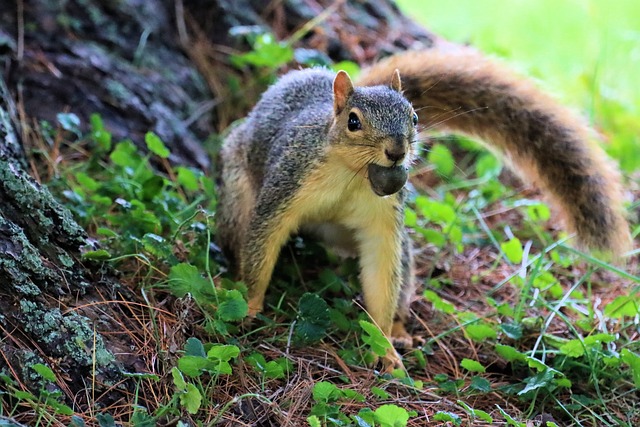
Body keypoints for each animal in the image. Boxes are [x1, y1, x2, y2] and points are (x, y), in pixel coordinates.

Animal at [218, 46, 632, 372]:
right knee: (239, 232)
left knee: (401, 276)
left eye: (414, 118)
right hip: (238, 192)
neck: (353, 175)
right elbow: (264, 239)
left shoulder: (384, 221)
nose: (397, 151)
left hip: (394, 245)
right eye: (353, 122)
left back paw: (401, 331)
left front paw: (384, 346)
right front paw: (250, 305)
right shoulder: (288, 184)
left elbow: (382, 274)